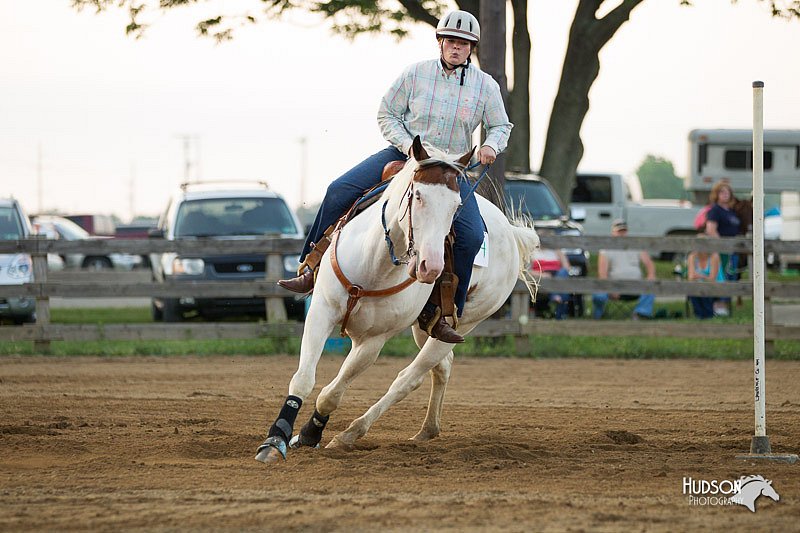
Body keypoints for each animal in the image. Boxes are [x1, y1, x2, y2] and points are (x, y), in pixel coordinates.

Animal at [253, 136, 540, 462]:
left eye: (457, 206)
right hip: (424, 326)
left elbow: (332, 394)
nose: (431, 267)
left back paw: (351, 434)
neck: (375, 263)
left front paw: (311, 433)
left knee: (409, 379)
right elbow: (304, 378)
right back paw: (427, 430)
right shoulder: (321, 312)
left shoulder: (373, 340)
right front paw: (275, 440)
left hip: (465, 324)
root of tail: (512, 235)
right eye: (417, 195)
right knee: (442, 367)